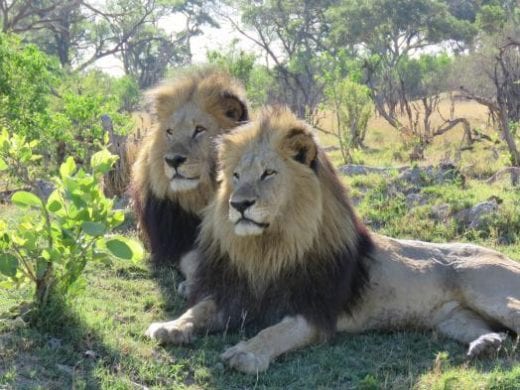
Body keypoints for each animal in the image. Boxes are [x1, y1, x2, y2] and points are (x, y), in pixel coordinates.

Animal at [143, 105, 520, 374]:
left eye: (268, 174)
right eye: (236, 176)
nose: (238, 205)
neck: (269, 248)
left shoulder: (315, 309)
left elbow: (277, 331)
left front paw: (247, 352)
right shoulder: (236, 295)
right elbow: (200, 309)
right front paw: (171, 326)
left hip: (490, 292)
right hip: (454, 318)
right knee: (495, 332)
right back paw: (487, 343)